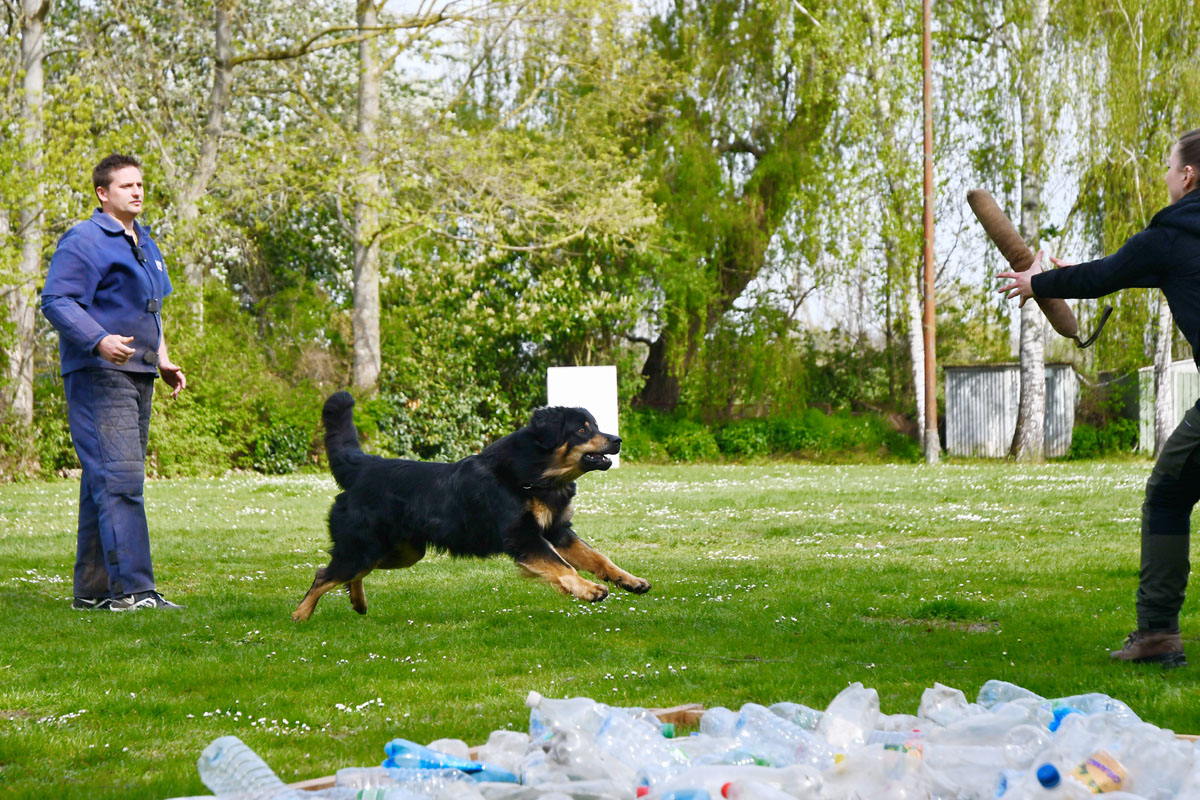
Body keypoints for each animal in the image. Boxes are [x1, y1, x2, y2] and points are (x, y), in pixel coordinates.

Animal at [290, 391, 652, 623]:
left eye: (596, 426)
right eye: (581, 429)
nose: (617, 440)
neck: (535, 474)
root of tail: (364, 465)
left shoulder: (557, 531)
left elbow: (598, 558)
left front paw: (630, 580)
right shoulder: (523, 537)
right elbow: (563, 567)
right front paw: (588, 590)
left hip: (400, 552)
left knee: (351, 574)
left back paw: (358, 602)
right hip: (365, 546)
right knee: (325, 574)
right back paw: (300, 614)